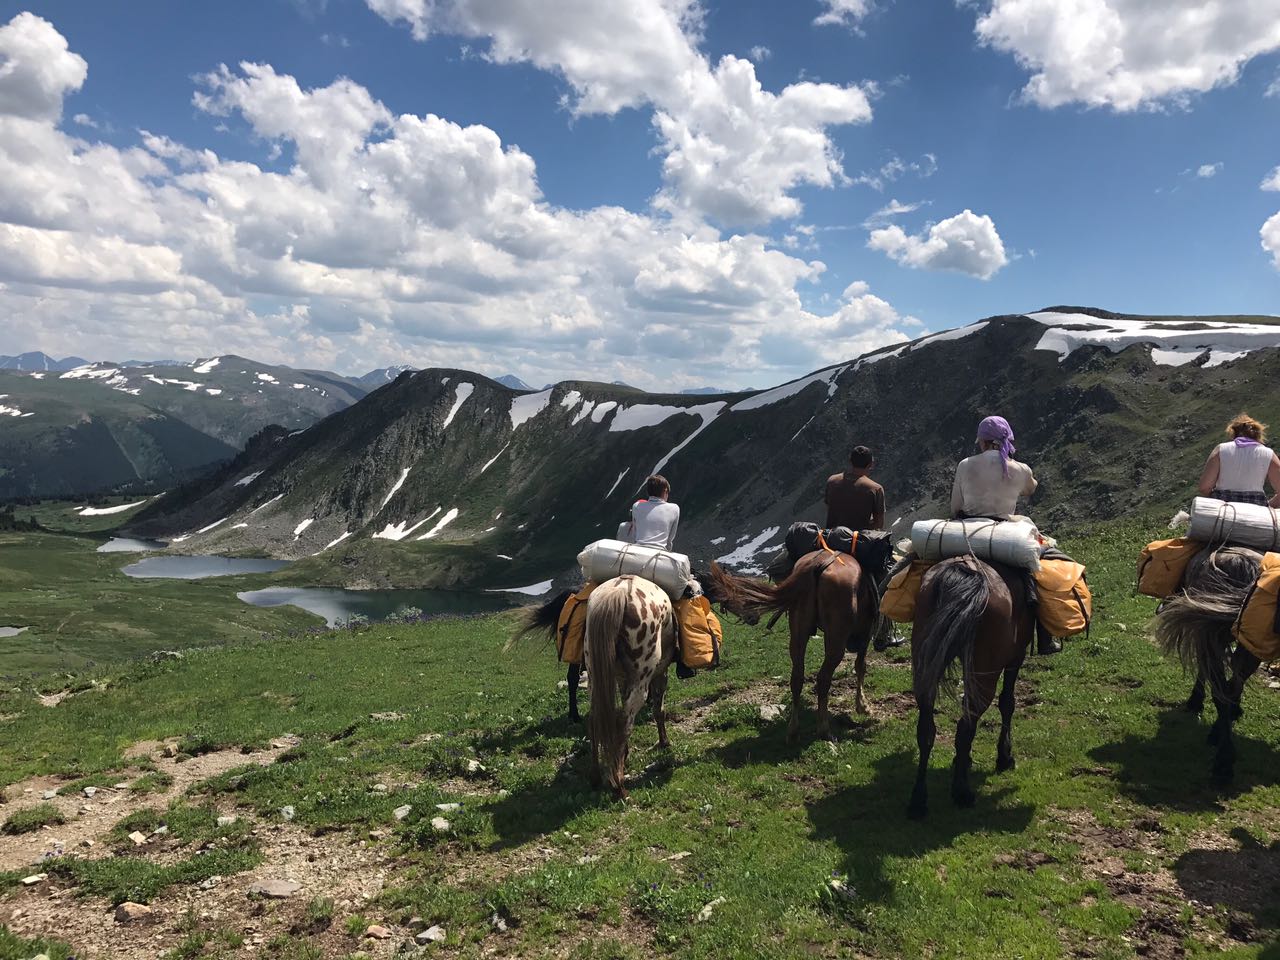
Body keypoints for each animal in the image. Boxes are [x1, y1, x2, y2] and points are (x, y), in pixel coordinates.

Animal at [711, 547, 880, 742]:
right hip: (836, 638)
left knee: (797, 677)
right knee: (823, 678)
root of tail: (817, 564)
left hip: (799, 633)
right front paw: (863, 706)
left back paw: (793, 731)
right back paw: (824, 729)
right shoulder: (865, 633)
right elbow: (861, 666)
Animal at [906, 555, 1034, 819]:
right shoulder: (1015, 657)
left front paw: (963, 761)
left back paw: (918, 801)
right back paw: (962, 792)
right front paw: (1004, 756)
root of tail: (966, 571)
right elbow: (1008, 703)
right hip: (984, 674)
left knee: (926, 730)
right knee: (965, 727)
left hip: (926, 666)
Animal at [1152, 545, 1259, 783]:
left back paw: (1222, 762)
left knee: (1222, 691)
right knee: (1230, 687)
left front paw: (1195, 701)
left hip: (1210, 635)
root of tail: (1242, 565)